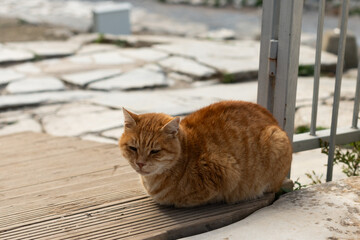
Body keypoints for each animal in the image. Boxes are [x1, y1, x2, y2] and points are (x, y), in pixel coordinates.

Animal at [119, 100, 292, 207]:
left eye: (155, 151)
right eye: (133, 148)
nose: (140, 163)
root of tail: (275, 121)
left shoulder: (228, 173)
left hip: (277, 140)